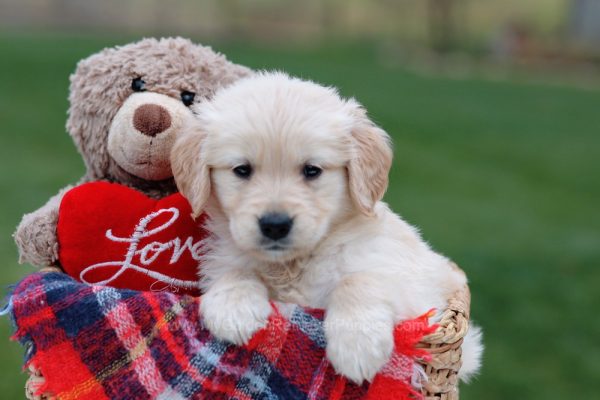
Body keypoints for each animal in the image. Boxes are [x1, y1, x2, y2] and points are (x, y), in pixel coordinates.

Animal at [170, 72, 482, 384]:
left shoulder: (420, 290)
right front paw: (233, 309)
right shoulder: (225, 259)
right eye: (242, 170)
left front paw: (357, 345)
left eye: (312, 170)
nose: (275, 226)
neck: (293, 264)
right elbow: (236, 270)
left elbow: (359, 279)